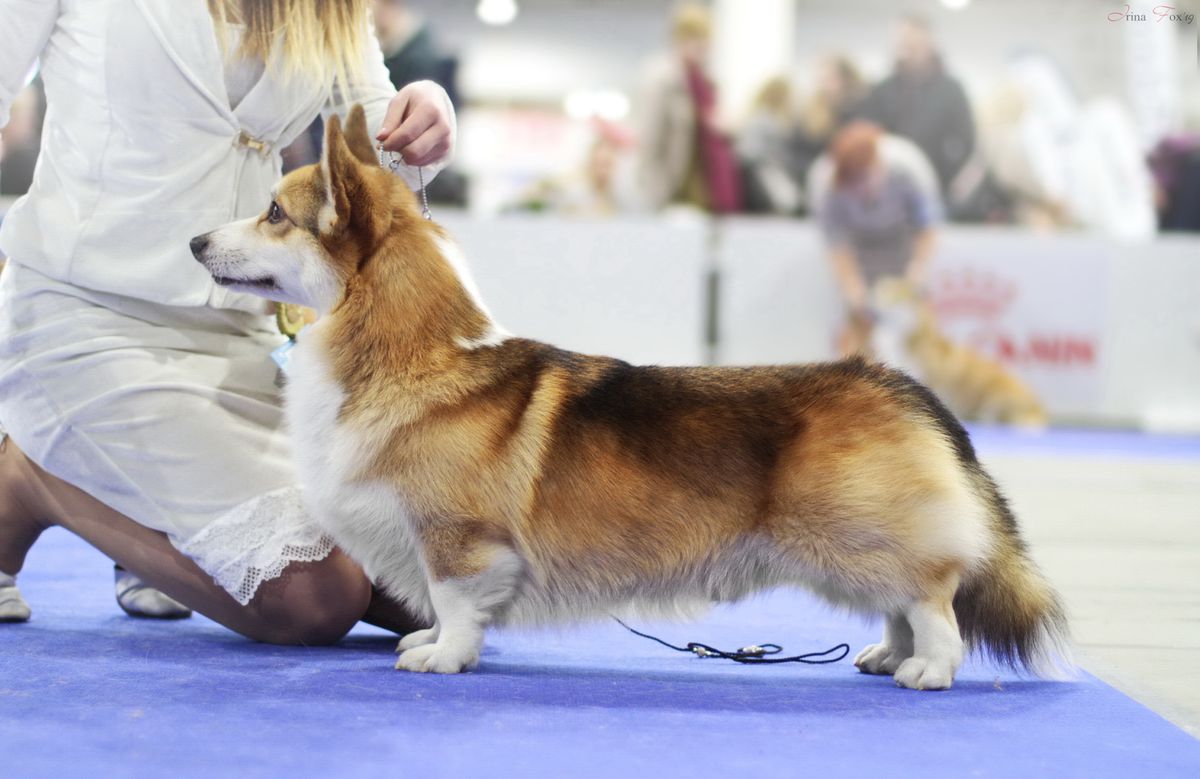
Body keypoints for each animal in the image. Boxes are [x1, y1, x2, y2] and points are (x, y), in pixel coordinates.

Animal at [189, 106, 1070, 691]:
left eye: (274, 213)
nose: (196, 241)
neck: (411, 353)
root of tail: (902, 384)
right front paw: (435, 644)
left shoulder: (456, 538)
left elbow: (454, 601)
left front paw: (442, 655)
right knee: (900, 603)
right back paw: (889, 655)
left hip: (864, 535)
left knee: (933, 598)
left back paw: (929, 668)